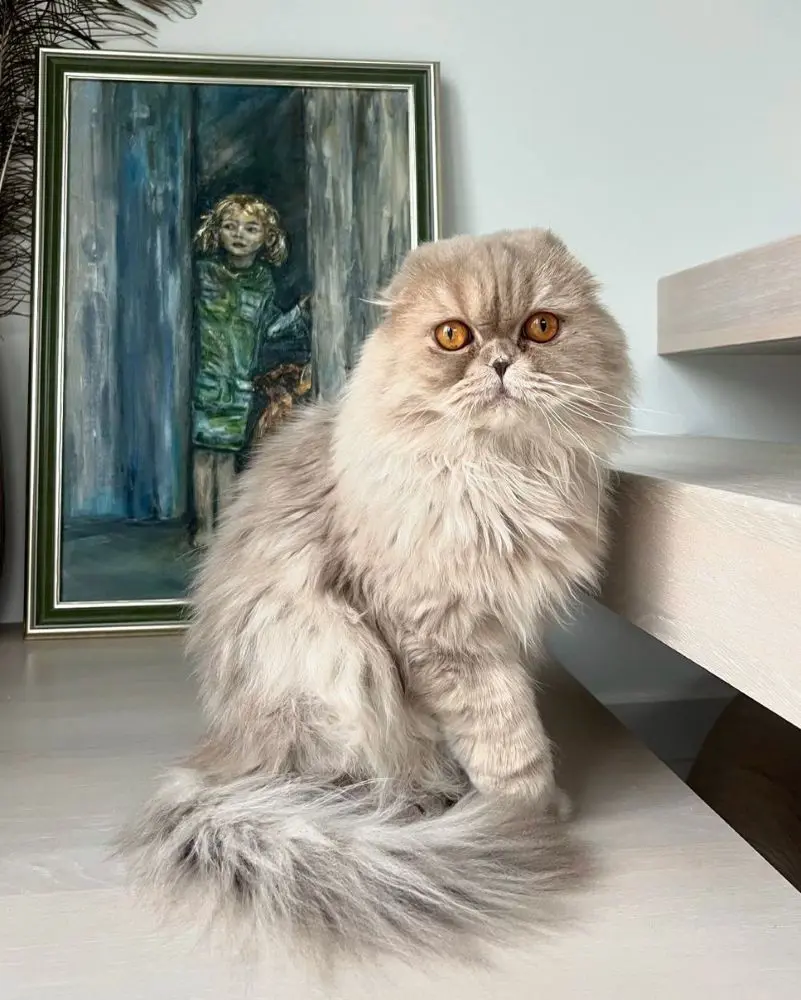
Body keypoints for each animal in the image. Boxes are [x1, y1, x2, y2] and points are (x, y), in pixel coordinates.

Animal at [120, 228, 632, 963]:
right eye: (453, 336)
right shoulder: (445, 636)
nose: (502, 363)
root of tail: (222, 757)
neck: (499, 475)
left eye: (540, 328)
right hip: (333, 665)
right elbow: (509, 740)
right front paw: (529, 817)